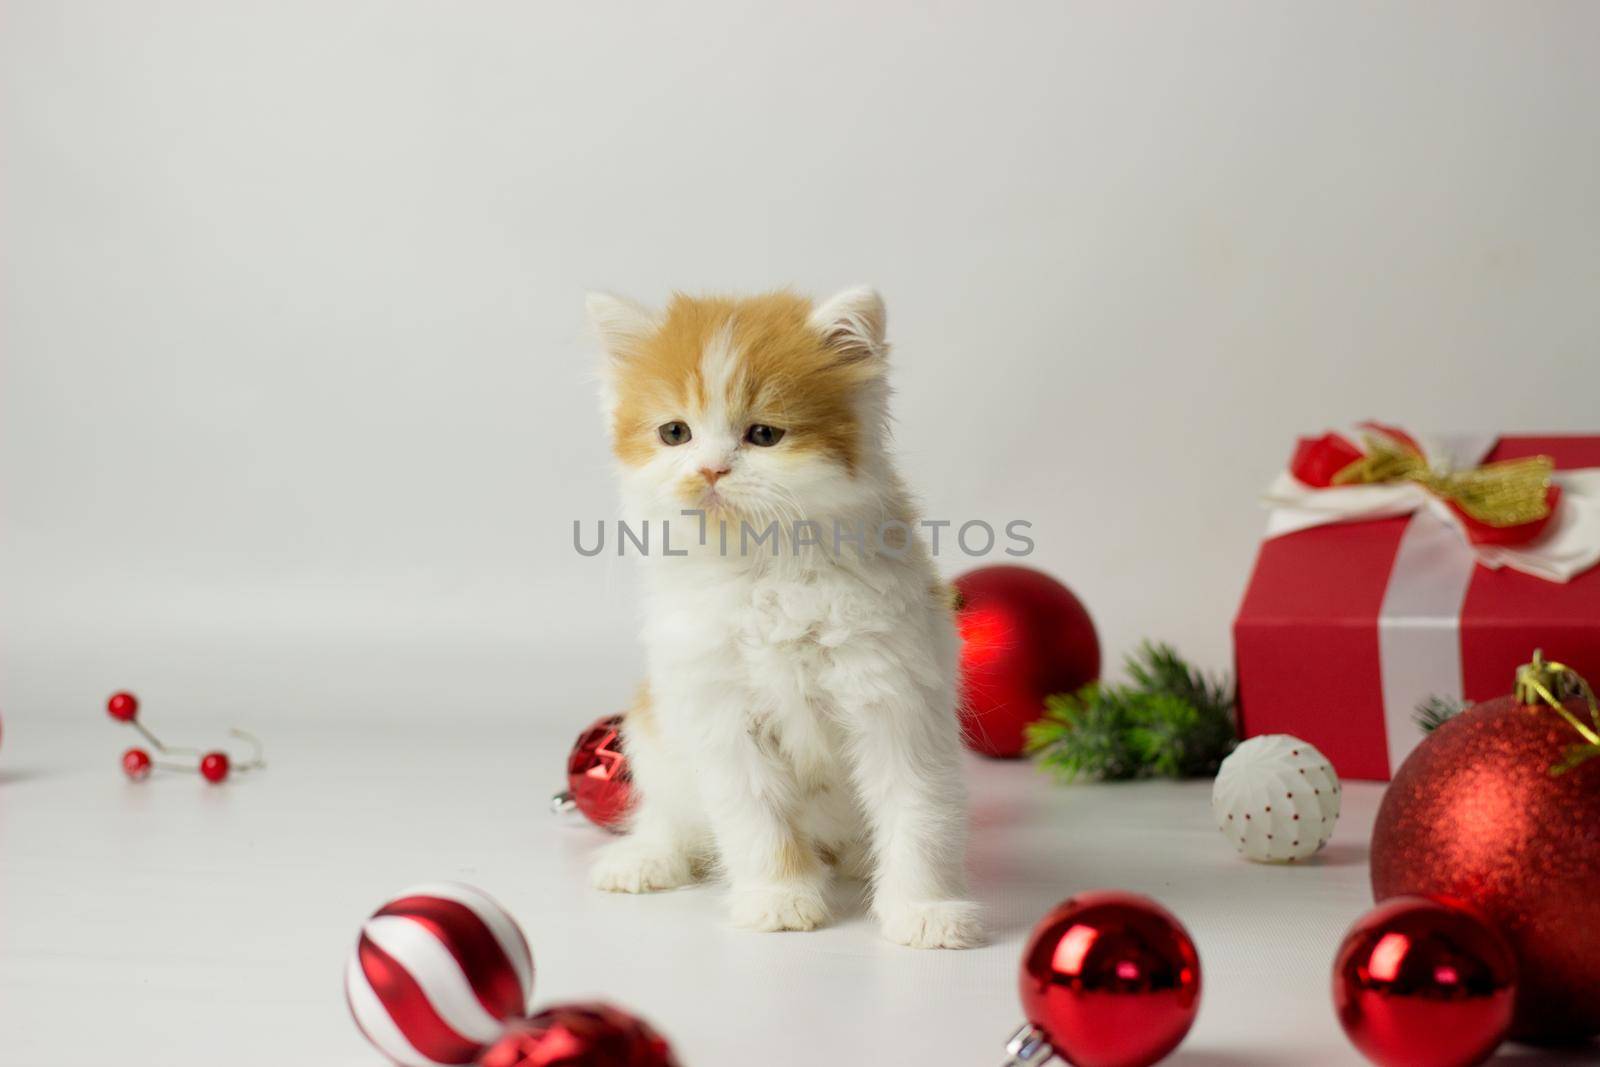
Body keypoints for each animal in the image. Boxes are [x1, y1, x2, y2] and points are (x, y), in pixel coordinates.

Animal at [588, 287, 979, 947]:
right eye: (675, 432)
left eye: (764, 434)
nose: (711, 469)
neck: (767, 569)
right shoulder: (721, 712)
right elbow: (756, 819)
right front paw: (779, 898)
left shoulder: (896, 696)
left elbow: (918, 811)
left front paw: (924, 909)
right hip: (650, 734)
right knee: (670, 817)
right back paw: (646, 858)